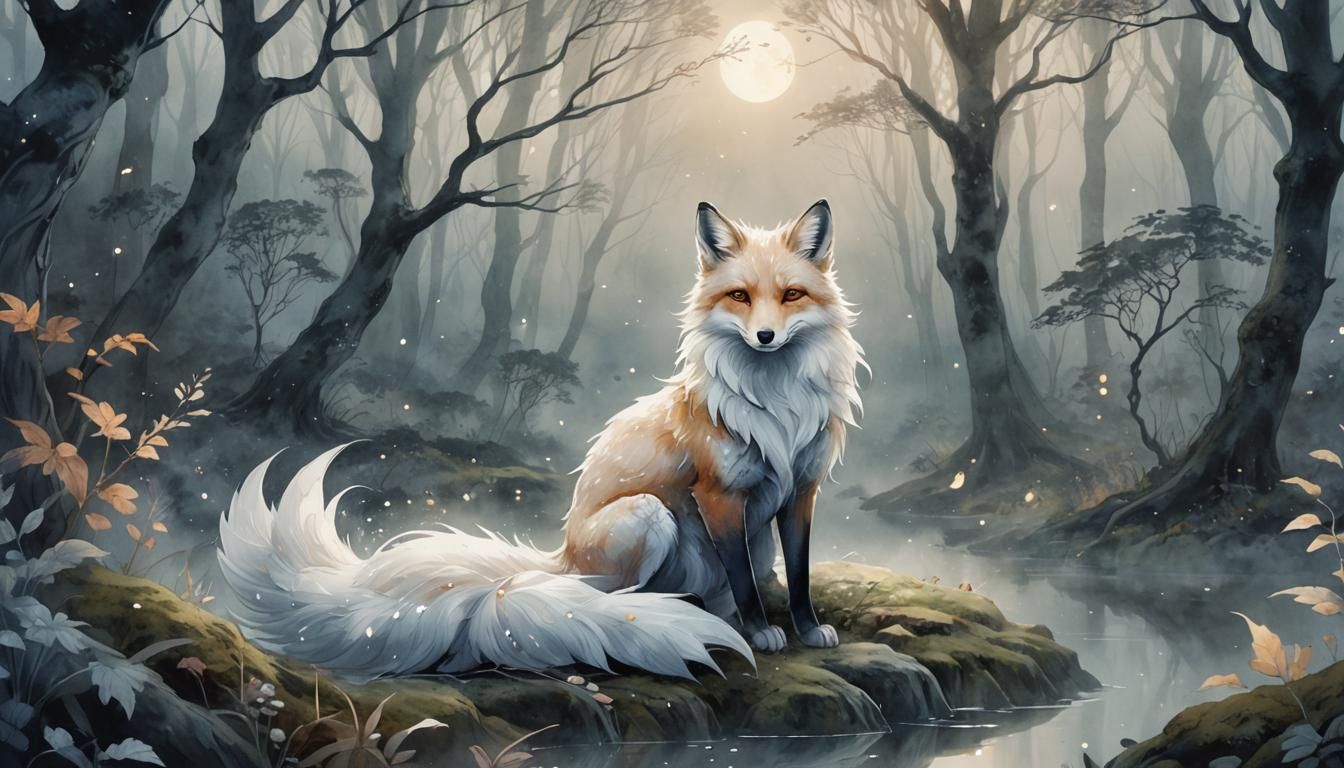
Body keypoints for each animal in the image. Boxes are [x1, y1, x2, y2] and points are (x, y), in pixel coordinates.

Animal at [218, 199, 865, 680]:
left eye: (791, 296)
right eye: (739, 296)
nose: (764, 337)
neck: (777, 405)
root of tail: (559, 557)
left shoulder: (800, 491)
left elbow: (799, 574)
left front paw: (807, 629)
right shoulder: (718, 495)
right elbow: (748, 588)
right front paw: (761, 632)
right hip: (649, 515)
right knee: (611, 596)